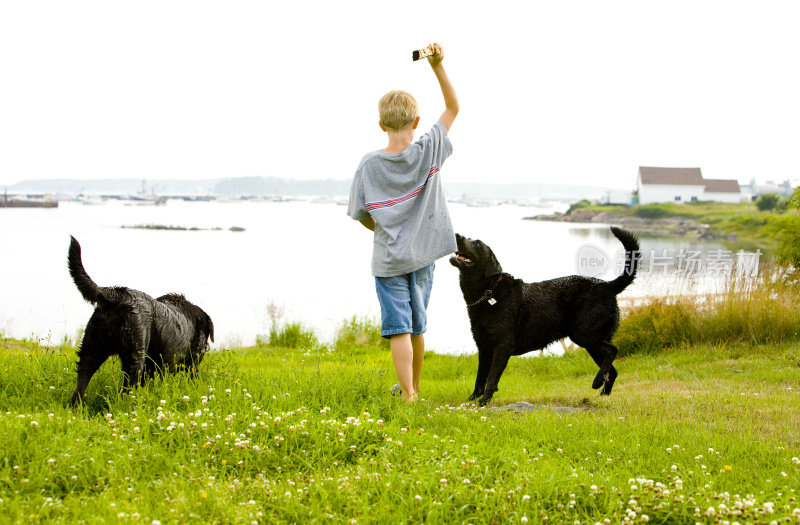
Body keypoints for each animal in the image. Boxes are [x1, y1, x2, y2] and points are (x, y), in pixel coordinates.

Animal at [67, 236, 214, 406]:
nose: (206, 346)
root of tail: (115, 294)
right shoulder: (191, 362)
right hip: (135, 355)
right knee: (127, 387)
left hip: (92, 349)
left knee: (81, 383)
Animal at [454, 226, 640, 406]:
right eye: (469, 238)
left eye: (477, 244)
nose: (457, 235)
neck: (490, 293)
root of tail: (606, 286)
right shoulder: (484, 348)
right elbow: (480, 378)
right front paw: (471, 399)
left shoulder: (502, 346)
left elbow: (491, 378)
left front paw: (484, 401)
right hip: (592, 342)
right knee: (613, 370)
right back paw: (602, 395)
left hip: (584, 335)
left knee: (612, 351)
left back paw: (597, 382)